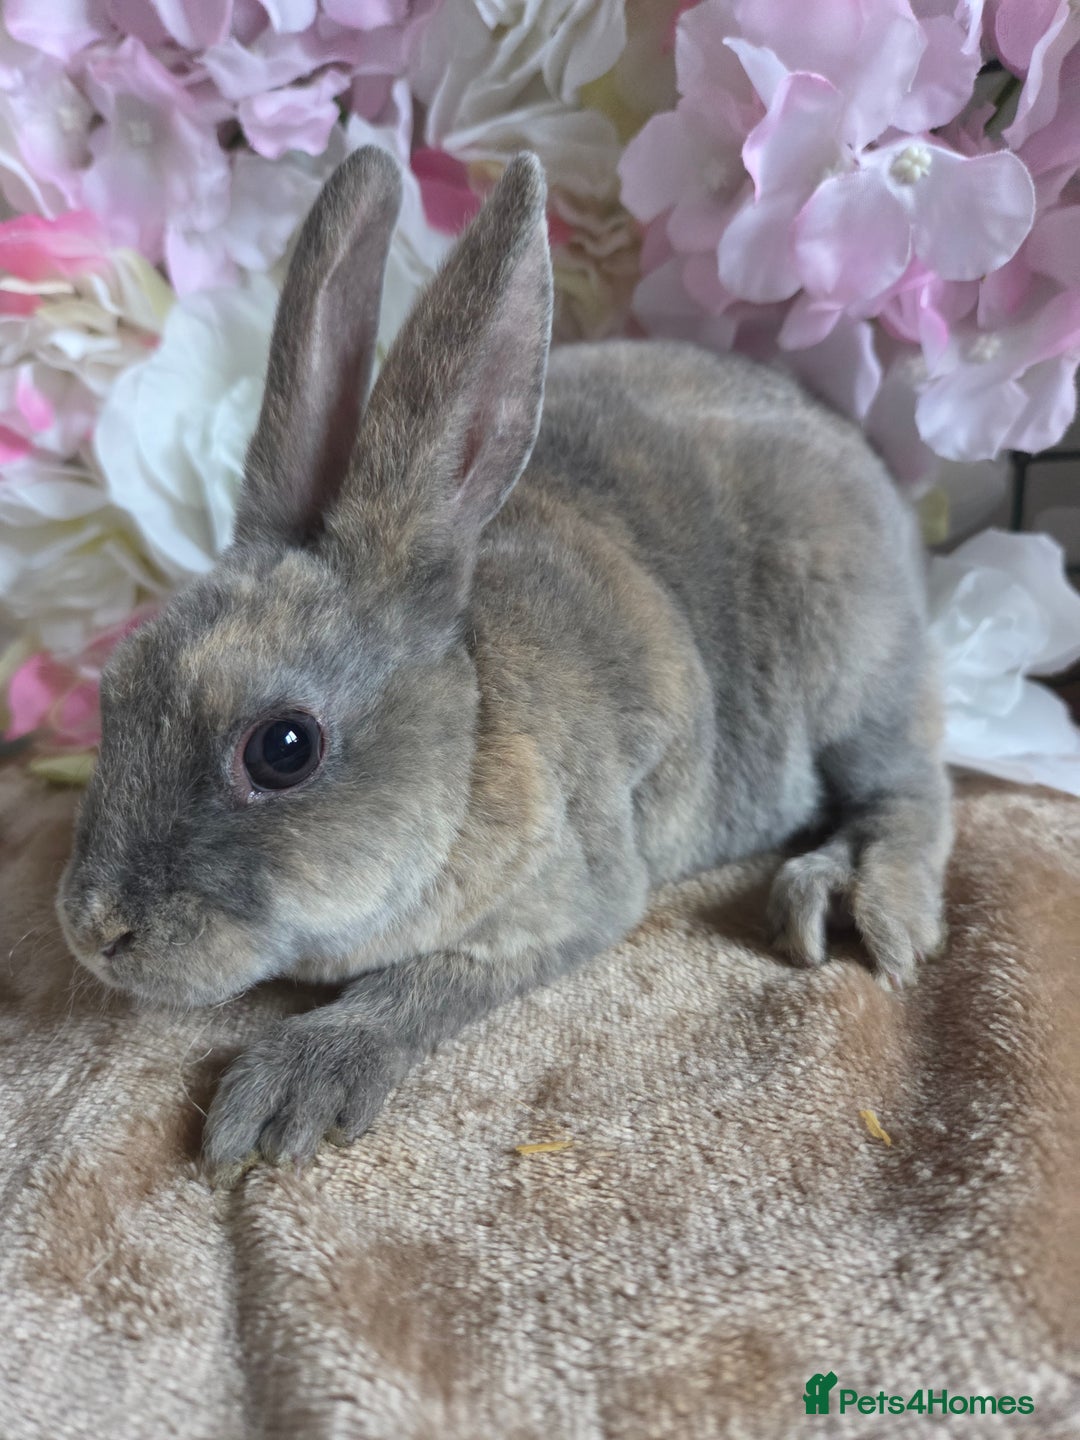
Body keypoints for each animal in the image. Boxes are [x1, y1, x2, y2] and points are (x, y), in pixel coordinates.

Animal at [56, 146, 952, 1180]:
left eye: (282, 749)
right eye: (116, 691)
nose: (93, 931)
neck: (472, 728)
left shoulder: (571, 899)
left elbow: (420, 988)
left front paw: (283, 1092)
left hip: (857, 673)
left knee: (911, 793)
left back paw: (851, 900)